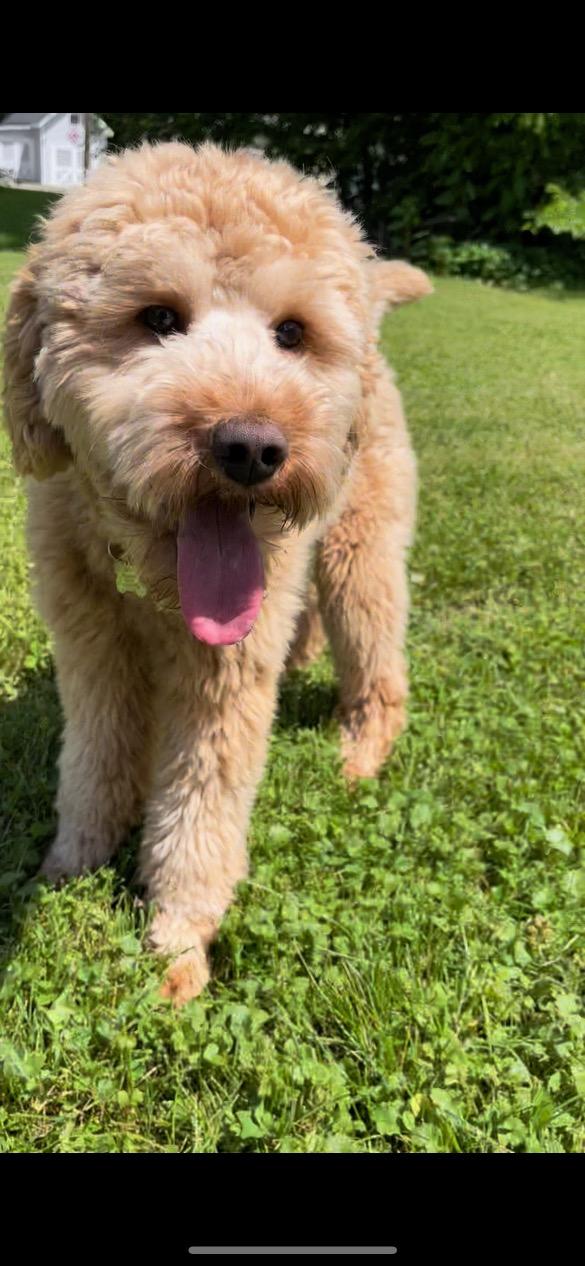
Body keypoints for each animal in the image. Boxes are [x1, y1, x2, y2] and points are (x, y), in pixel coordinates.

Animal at [3, 142, 431, 1003]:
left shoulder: (221, 680)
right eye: (158, 317)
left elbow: (201, 806)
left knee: (376, 662)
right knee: (305, 628)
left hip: (358, 552)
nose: (252, 448)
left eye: (291, 333)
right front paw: (69, 866)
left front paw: (176, 946)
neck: (150, 579)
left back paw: (360, 755)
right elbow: (95, 760)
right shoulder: (90, 645)